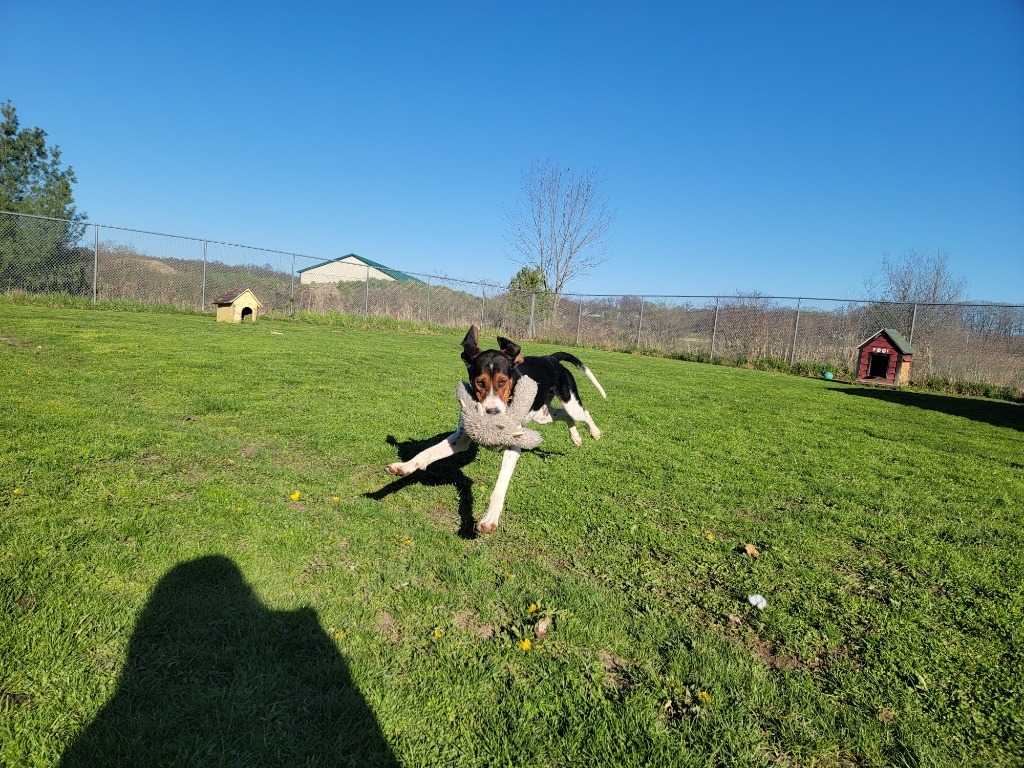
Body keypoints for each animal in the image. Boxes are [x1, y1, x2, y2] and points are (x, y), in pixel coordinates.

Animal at [387, 325, 602, 536]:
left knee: (582, 413)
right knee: (566, 416)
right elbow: (427, 452)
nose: (492, 413)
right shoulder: (461, 438)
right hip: (543, 414)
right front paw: (405, 467)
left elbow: (500, 485)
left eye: (502, 381)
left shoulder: (513, 446)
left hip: (569, 399)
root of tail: (549, 357)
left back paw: (594, 432)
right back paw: (576, 438)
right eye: (479, 382)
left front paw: (490, 519)